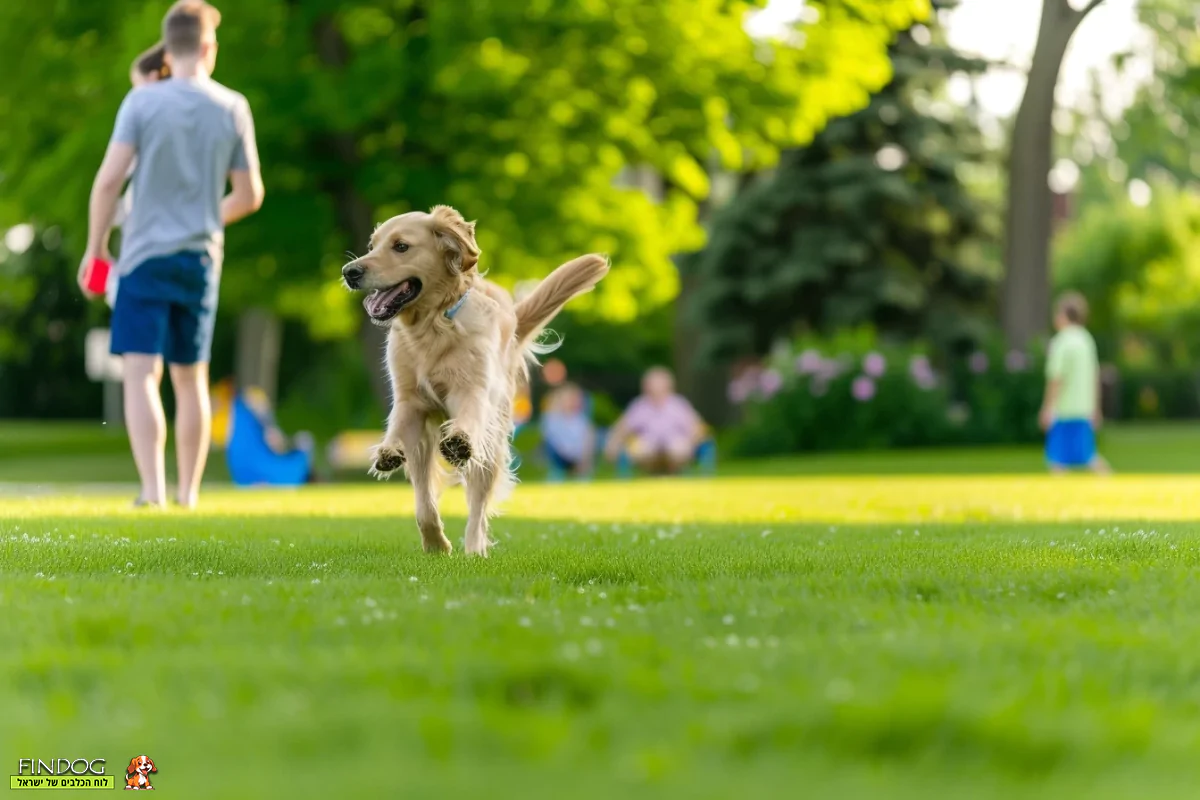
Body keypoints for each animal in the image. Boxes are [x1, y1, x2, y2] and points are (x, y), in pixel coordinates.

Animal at [345, 206, 609, 556]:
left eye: (401, 246)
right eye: (372, 246)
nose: (349, 271)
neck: (432, 325)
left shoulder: (472, 390)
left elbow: (468, 419)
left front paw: (458, 440)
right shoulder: (410, 402)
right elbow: (422, 498)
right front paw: (435, 543)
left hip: (492, 442)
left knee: (478, 505)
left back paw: (475, 550)